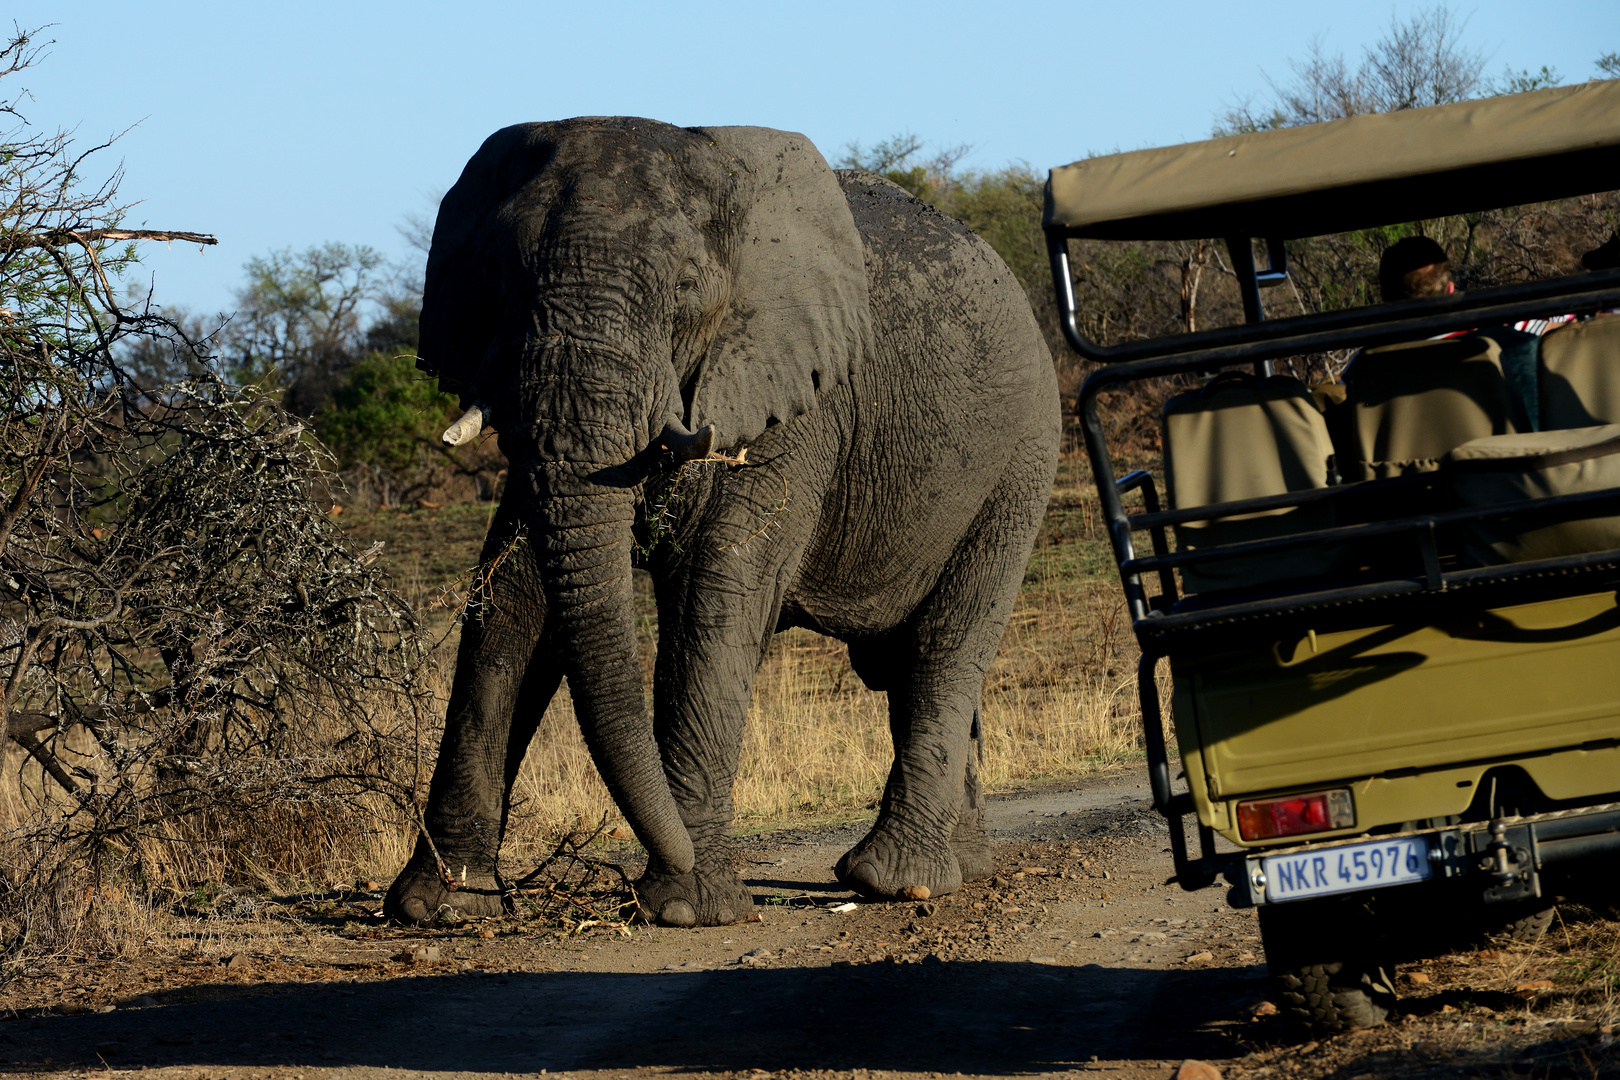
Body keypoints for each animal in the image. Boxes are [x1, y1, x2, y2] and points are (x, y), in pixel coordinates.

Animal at [383, 118, 1056, 932]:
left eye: (684, 290)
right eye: (503, 282)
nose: (638, 862)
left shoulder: (793, 396)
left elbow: (715, 598)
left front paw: (684, 908)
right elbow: (510, 595)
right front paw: (437, 907)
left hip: (1020, 463)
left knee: (943, 649)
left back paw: (895, 882)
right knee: (903, 664)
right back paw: (962, 865)